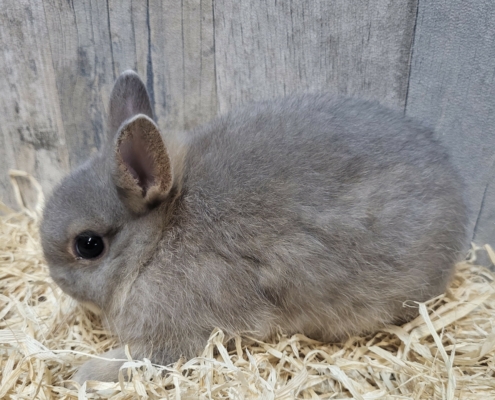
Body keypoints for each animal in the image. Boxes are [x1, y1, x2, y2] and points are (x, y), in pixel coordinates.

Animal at [40, 70, 467, 383]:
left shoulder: (180, 333)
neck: (157, 240)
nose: (55, 280)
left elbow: (137, 358)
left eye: (89, 245)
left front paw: (82, 373)